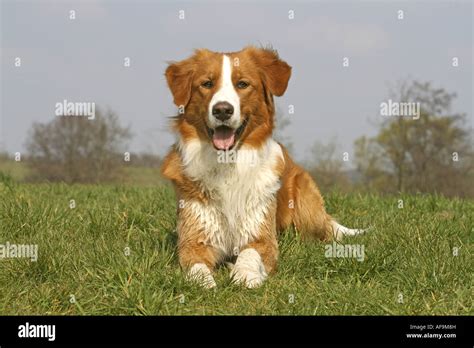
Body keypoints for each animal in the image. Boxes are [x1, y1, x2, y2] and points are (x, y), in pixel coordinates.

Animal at [161, 47, 364, 290]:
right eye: (207, 84)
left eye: (242, 84)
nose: (222, 110)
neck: (227, 164)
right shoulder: (193, 239)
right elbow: (196, 266)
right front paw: (204, 283)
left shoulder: (262, 237)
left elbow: (249, 254)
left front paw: (245, 275)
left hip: (305, 204)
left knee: (327, 232)